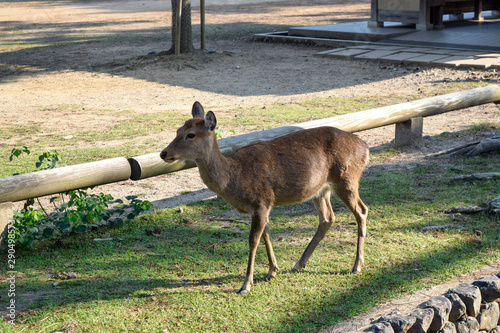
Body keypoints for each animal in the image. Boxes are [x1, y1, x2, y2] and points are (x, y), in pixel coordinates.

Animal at [158, 102, 370, 294]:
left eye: (191, 134)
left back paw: (356, 266)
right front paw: (271, 271)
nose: (163, 153)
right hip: (320, 190)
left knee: (361, 210)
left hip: (347, 179)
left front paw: (245, 285)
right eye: (178, 130)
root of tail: (365, 148)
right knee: (327, 218)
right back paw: (298, 264)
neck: (234, 178)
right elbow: (266, 233)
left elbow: (253, 240)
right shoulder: (265, 205)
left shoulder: (261, 201)